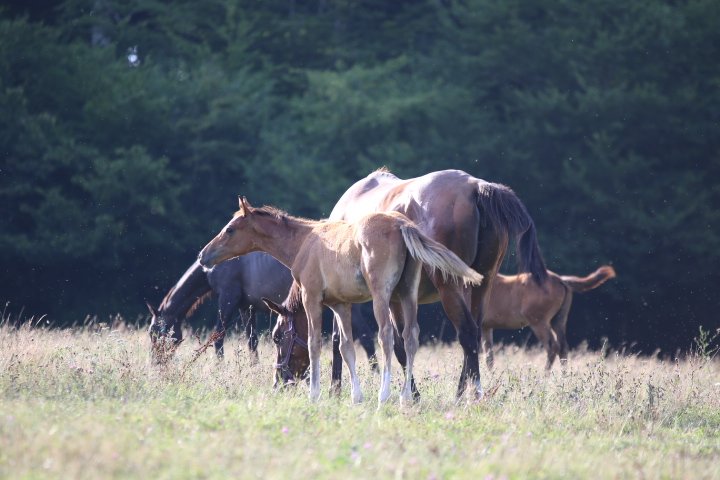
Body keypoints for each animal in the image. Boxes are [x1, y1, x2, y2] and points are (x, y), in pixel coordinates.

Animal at [146, 252, 378, 365]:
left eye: (156, 333)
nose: (156, 363)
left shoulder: (227, 298)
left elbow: (218, 336)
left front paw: (220, 366)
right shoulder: (246, 307)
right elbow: (252, 341)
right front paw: (254, 368)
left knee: (366, 337)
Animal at [198, 198, 484, 404]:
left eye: (230, 229)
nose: (203, 256)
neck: (305, 241)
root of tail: (401, 225)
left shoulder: (312, 298)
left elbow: (314, 343)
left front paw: (314, 395)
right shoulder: (340, 305)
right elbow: (346, 347)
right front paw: (355, 397)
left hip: (382, 295)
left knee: (387, 336)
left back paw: (384, 395)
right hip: (406, 294)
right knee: (410, 336)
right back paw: (404, 397)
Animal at [482, 265, 616, 369]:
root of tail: (561, 280)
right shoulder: (486, 326)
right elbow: (489, 356)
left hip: (538, 321)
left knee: (552, 346)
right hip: (559, 319)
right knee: (563, 347)